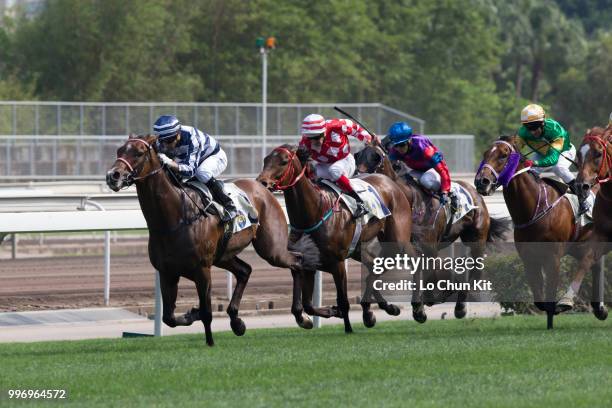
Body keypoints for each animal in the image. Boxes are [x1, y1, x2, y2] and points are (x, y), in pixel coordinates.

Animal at [104, 135, 318, 346]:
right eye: (119, 150)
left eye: (139, 153)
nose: (113, 175)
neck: (175, 217)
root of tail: (263, 188)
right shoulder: (167, 272)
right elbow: (169, 317)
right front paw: (192, 314)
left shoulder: (202, 270)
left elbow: (207, 312)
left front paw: (210, 342)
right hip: (224, 255)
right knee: (245, 271)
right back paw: (237, 321)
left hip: (271, 249)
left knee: (297, 261)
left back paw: (302, 317)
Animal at [256, 145, 414, 334]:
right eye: (265, 159)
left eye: (284, 161)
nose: (262, 182)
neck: (316, 211)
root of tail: (390, 182)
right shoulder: (308, 262)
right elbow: (307, 305)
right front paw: (320, 315)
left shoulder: (338, 264)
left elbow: (343, 301)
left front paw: (348, 327)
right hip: (358, 248)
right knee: (372, 268)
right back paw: (378, 310)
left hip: (398, 241)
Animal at [354, 143, 512, 322]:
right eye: (357, 156)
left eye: (375, 158)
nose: (359, 178)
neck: (408, 199)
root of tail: (475, 191)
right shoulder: (398, 247)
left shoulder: (428, 246)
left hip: (476, 238)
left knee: (476, 269)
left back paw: (460, 305)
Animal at [474, 136, 604, 328]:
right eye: (485, 153)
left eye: (503, 155)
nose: (481, 181)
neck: (535, 207)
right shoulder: (529, 258)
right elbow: (539, 300)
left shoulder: (553, 257)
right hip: (579, 246)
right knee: (594, 263)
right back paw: (600, 309)